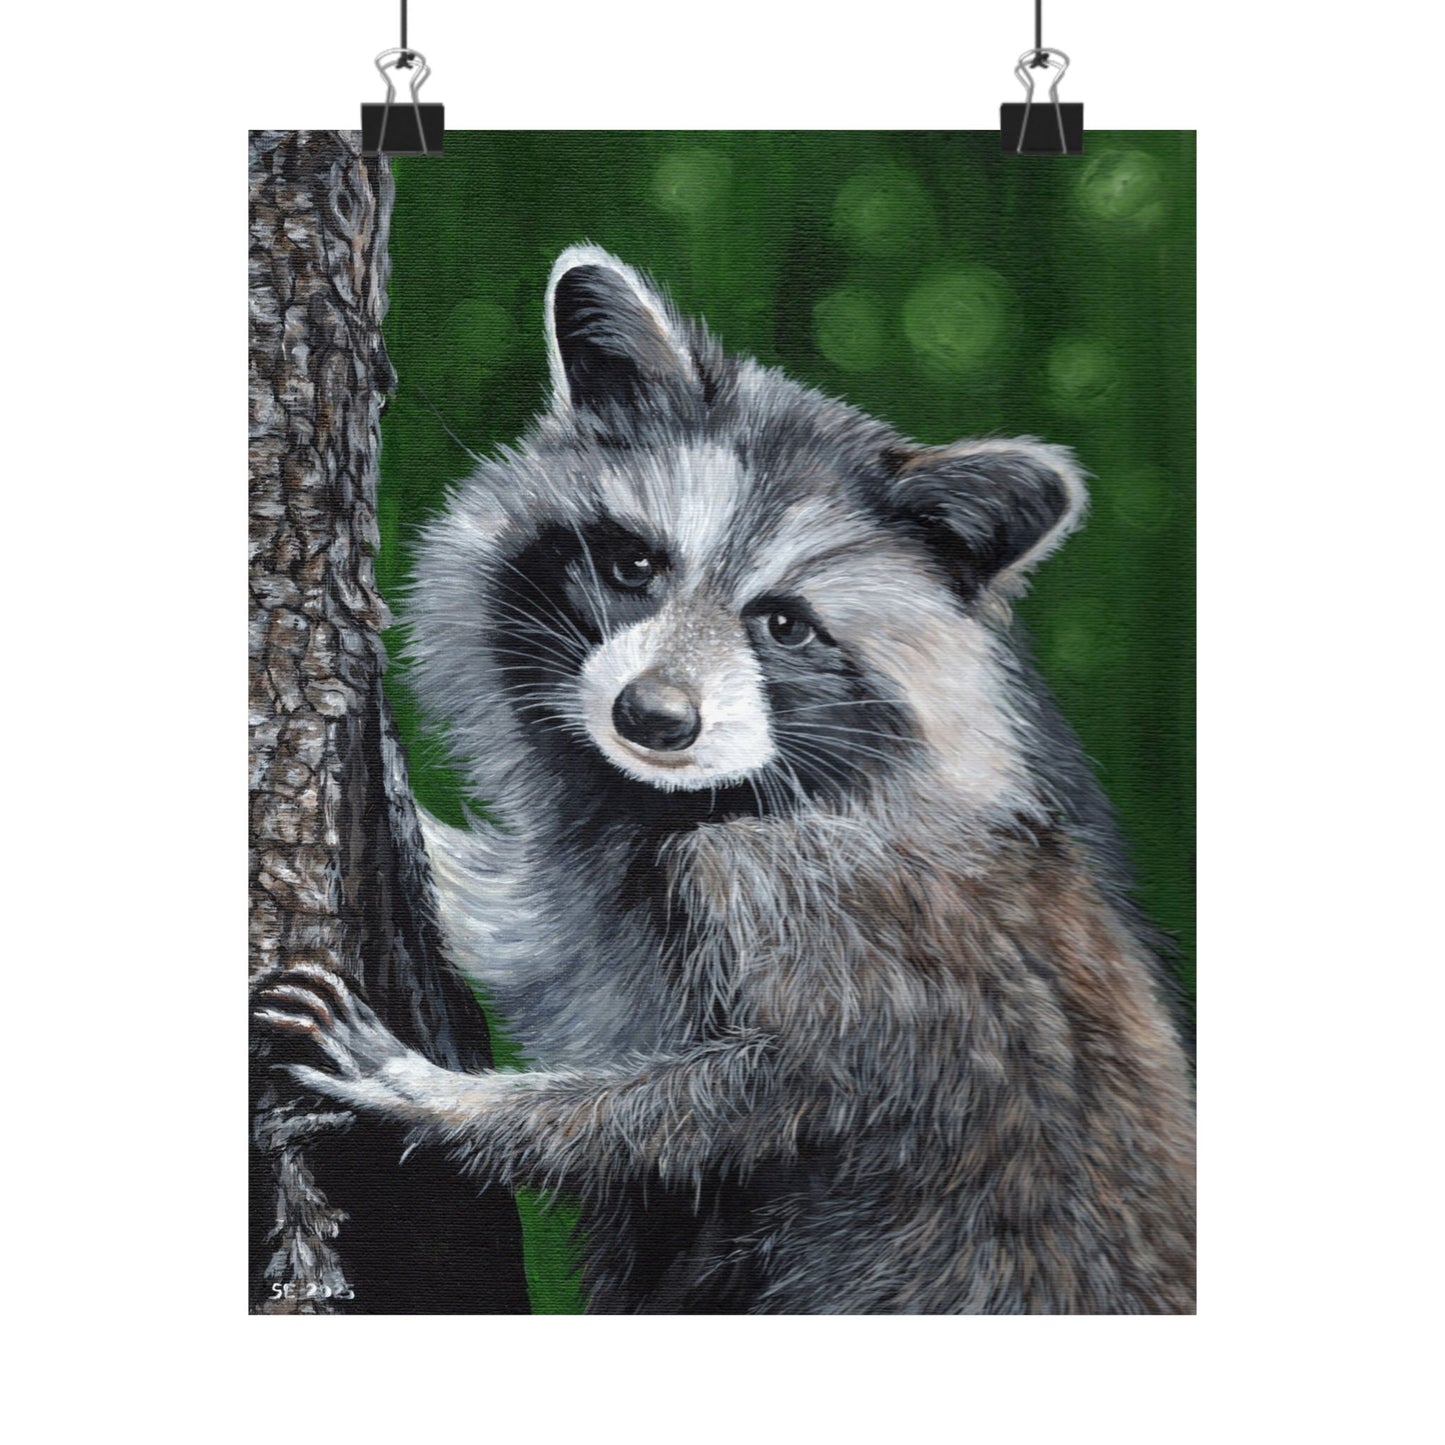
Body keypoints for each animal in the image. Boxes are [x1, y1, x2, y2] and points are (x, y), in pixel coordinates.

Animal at [256, 245, 1196, 1313]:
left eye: (784, 624)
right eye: (633, 564)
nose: (653, 717)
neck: (683, 798)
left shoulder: (832, 908)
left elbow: (756, 1093)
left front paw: (444, 1100)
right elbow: (536, 933)